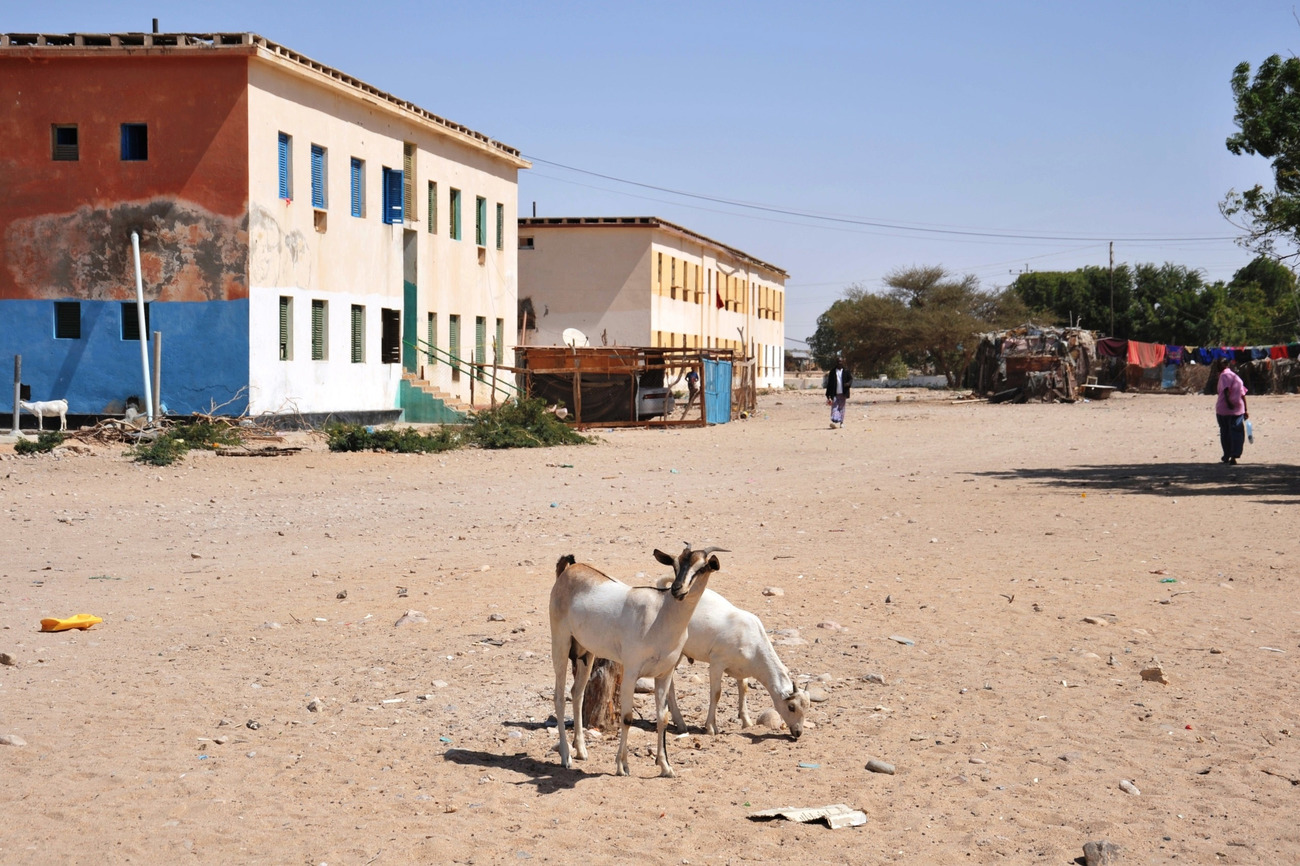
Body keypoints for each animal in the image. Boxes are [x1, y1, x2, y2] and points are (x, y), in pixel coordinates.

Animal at [548, 540, 728, 774]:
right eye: (675, 564)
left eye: (702, 568)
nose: (677, 589)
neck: (661, 615)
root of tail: (571, 568)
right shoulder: (631, 672)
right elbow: (627, 718)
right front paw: (622, 766)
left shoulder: (664, 674)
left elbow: (663, 718)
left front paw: (665, 767)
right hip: (560, 644)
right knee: (559, 697)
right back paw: (566, 756)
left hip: (586, 653)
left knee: (576, 693)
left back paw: (581, 751)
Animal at [665, 582, 806, 733]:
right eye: (791, 707)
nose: (798, 732)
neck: (753, 640)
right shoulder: (717, 663)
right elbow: (716, 693)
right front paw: (711, 727)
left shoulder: (742, 669)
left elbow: (743, 690)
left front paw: (747, 722)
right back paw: (680, 723)